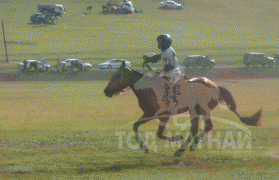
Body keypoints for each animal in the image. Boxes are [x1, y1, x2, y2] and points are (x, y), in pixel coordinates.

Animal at [104, 60, 264, 156]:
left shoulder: (164, 115)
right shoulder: (148, 114)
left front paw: (177, 138)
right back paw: (188, 147)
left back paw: (182, 149)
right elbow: (136, 126)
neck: (148, 88)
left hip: (200, 110)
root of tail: (216, 87)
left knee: (205, 127)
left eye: (118, 75)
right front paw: (145, 148)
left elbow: (159, 134)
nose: (106, 91)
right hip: (196, 112)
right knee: (198, 128)